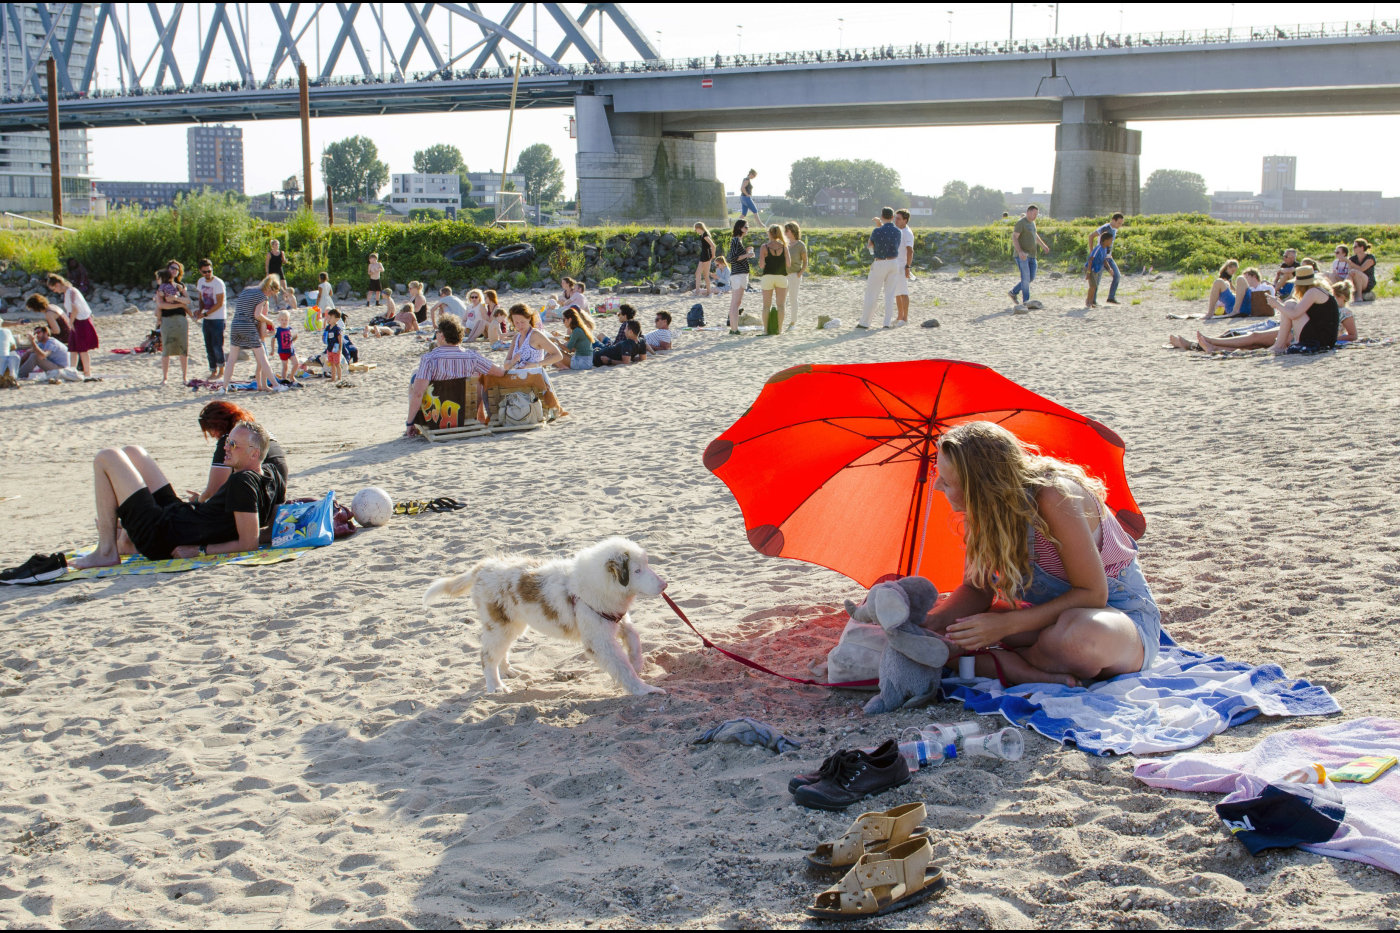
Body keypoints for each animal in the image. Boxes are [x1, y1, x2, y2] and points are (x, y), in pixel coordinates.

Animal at [422, 535, 669, 694]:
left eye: (647, 564)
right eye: (637, 570)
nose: (664, 585)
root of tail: (482, 568)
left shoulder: (616, 619)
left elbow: (634, 636)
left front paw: (637, 662)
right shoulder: (600, 640)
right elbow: (622, 668)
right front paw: (644, 689)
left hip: (512, 625)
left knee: (499, 651)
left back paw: (508, 671)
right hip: (499, 624)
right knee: (487, 656)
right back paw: (496, 686)